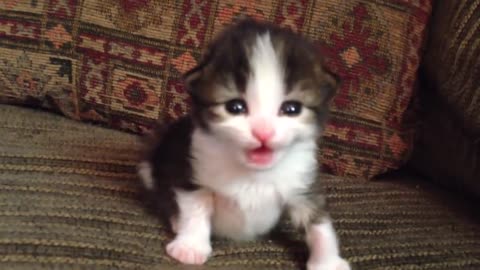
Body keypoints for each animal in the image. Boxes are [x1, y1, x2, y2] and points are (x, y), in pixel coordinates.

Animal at [137, 19, 350, 270]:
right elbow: (195, 208)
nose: (263, 132)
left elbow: (319, 222)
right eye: (235, 107)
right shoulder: (190, 170)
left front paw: (328, 262)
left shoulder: (303, 183)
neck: (253, 174)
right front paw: (190, 247)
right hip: (149, 165)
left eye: (292, 108)